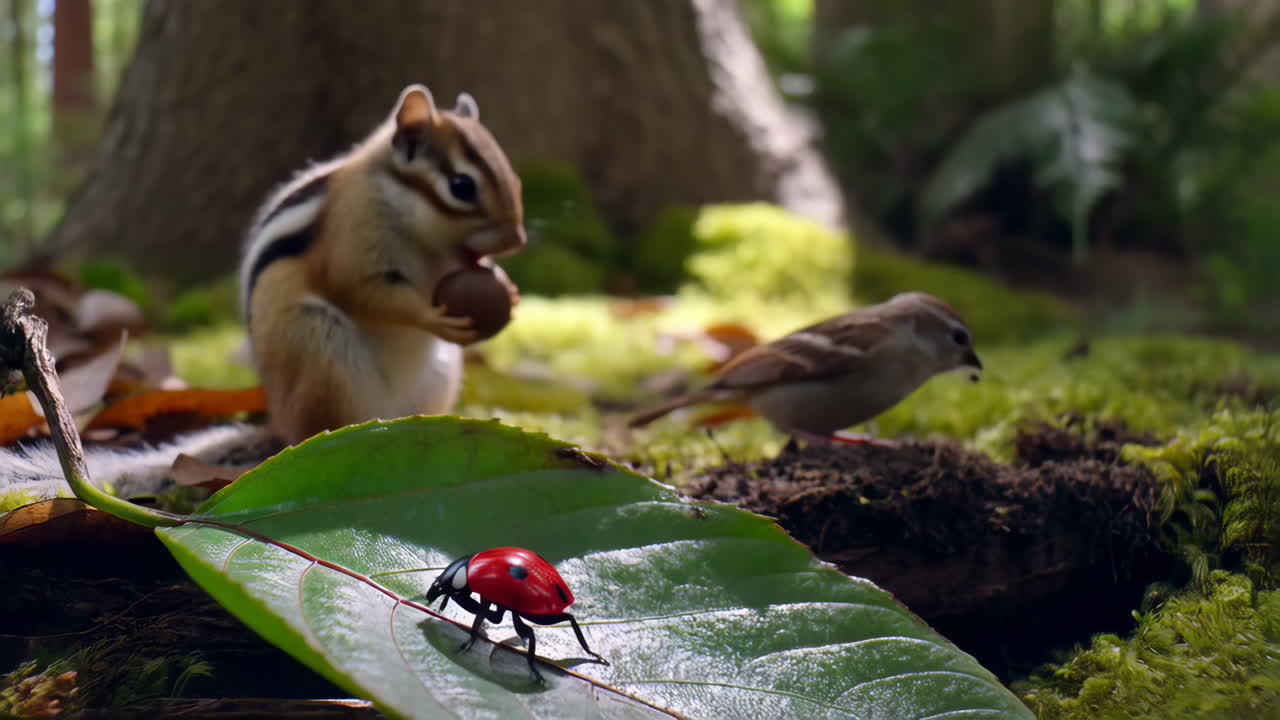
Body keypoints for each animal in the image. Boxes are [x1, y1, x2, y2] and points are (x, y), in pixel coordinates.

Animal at [2, 84, 526, 500]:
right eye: (461, 186)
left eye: (515, 177)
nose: (518, 239)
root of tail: (281, 424)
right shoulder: (353, 237)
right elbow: (363, 290)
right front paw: (433, 315)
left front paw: (508, 289)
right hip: (319, 345)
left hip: (439, 373)